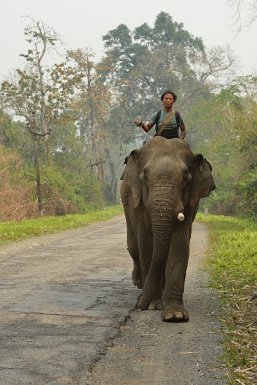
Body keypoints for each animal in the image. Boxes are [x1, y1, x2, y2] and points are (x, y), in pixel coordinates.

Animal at [120, 136, 214, 322]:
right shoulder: (138, 201)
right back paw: (140, 285)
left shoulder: (191, 202)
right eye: (145, 177)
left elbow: (180, 243)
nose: (140, 307)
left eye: (185, 177)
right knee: (133, 247)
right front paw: (153, 306)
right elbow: (145, 243)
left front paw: (175, 315)